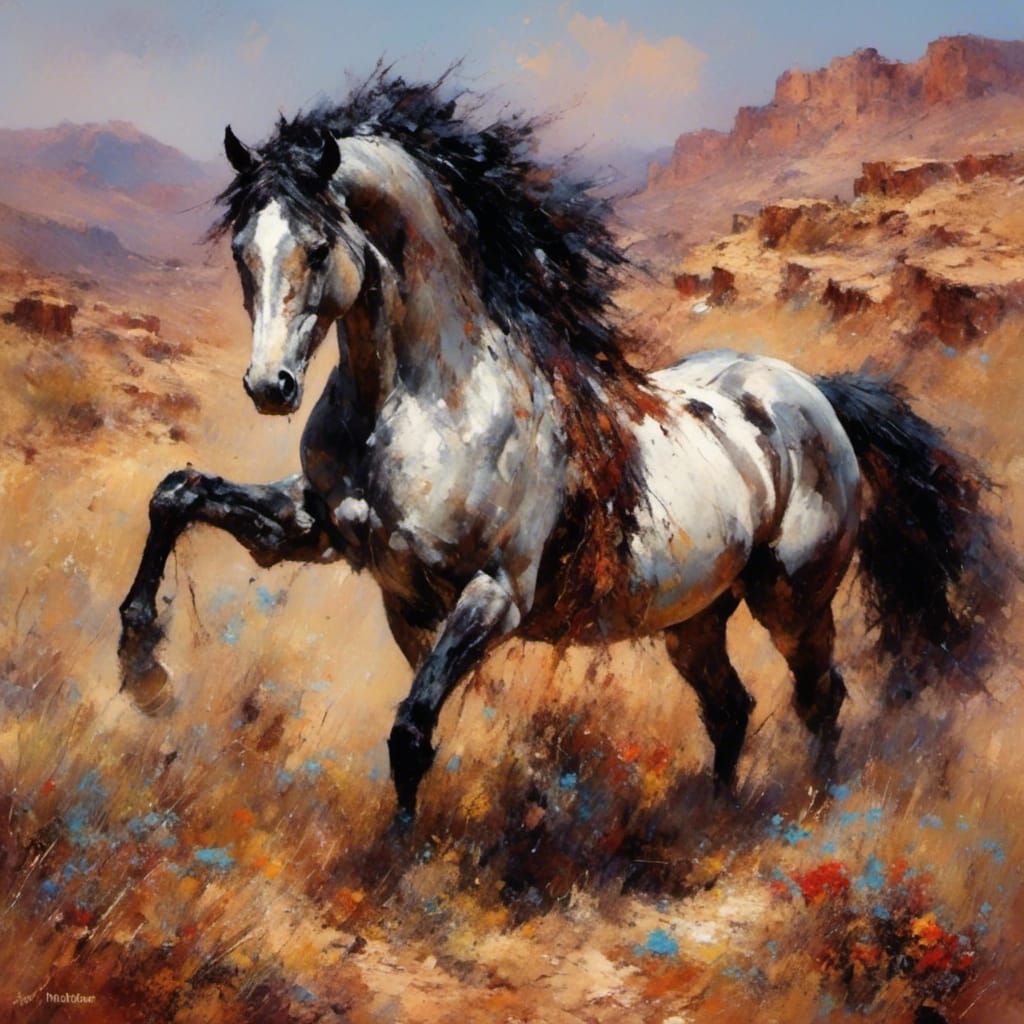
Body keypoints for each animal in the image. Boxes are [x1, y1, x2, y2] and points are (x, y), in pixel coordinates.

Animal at [118, 71, 1004, 822]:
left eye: (315, 246)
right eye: (242, 251)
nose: (269, 387)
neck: (428, 399)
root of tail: (808, 392)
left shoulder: (493, 595)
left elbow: (411, 730)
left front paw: (403, 861)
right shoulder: (318, 530)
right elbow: (179, 493)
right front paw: (142, 667)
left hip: (794, 597)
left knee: (820, 696)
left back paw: (811, 814)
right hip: (694, 616)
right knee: (731, 708)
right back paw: (713, 819)